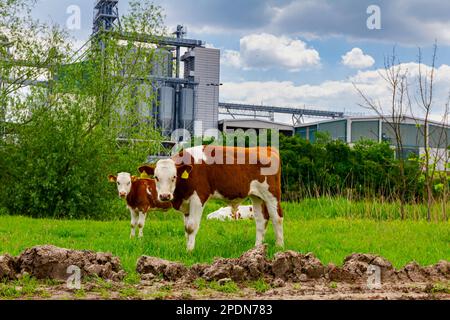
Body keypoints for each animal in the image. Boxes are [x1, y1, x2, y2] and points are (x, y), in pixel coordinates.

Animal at [139, 146, 284, 251]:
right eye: (156, 177)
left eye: (174, 177)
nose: (165, 196)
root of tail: (266, 148)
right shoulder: (186, 204)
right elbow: (186, 229)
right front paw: (187, 247)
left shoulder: (198, 199)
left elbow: (191, 227)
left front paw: (190, 251)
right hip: (256, 196)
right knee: (261, 220)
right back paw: (256, 248)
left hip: (272, 195)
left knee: (277, 217)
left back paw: (279, 246)